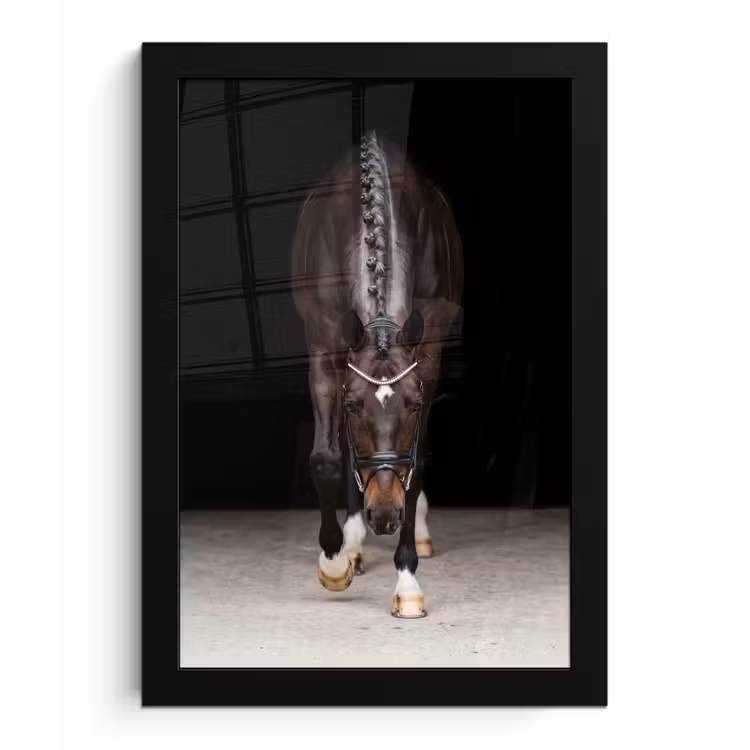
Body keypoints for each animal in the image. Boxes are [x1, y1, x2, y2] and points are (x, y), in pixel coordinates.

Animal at [291, 131, 464, 617]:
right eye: (353, 406)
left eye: (414, 405)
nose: (384, 516)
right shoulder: (324, 350)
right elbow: (327, 458)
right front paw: (334, 562)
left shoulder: (428, 358)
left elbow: (416, 464)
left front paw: (407, 581)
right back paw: (352, 544)